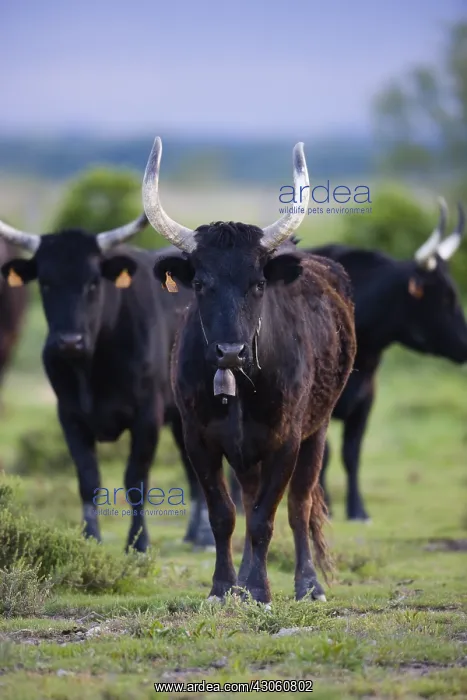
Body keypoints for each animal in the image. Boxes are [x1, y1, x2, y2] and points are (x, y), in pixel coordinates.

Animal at [0, 213, 201, 551]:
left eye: (93, 282)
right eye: (46, 283)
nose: (69, 341)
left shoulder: (147, 416)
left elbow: (136, 480)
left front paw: (138, 543)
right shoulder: (69, 416)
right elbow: (88, 478)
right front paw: (90, 537)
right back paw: (194, 535)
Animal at [140, 136, 356, 603]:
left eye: (257, 284)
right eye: (199, 283)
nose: (230, 351)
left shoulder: (286, 441)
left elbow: (266, 518)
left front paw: (260, 591)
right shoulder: (198, 440)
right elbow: (224, 515)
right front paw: (224, 587)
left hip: (318, 430)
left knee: (300, 505)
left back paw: (308, 584)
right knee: (252, 496)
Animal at [305, 200, 467, 521]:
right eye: (444, 297)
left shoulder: (366, 399)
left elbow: (352, 454)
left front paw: (358, 510)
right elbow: (325, 455)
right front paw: (327, 508)